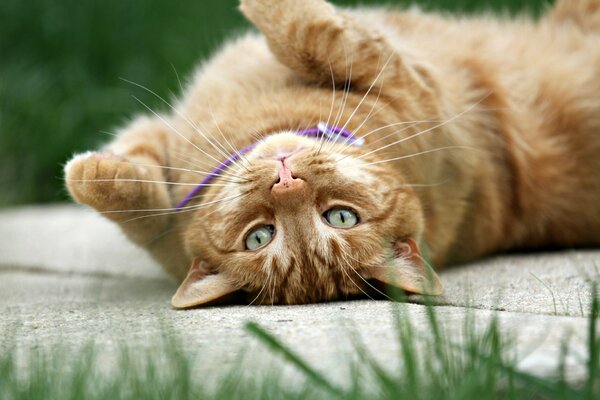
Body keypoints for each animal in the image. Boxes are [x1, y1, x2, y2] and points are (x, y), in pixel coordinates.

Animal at [63, 0, 600, 308]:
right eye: (260, 237)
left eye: (340, 217)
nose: (286, 180)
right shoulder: (168, 151)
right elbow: (140, 197)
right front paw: (95, 173)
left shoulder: (402, 75)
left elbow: (314, 34)